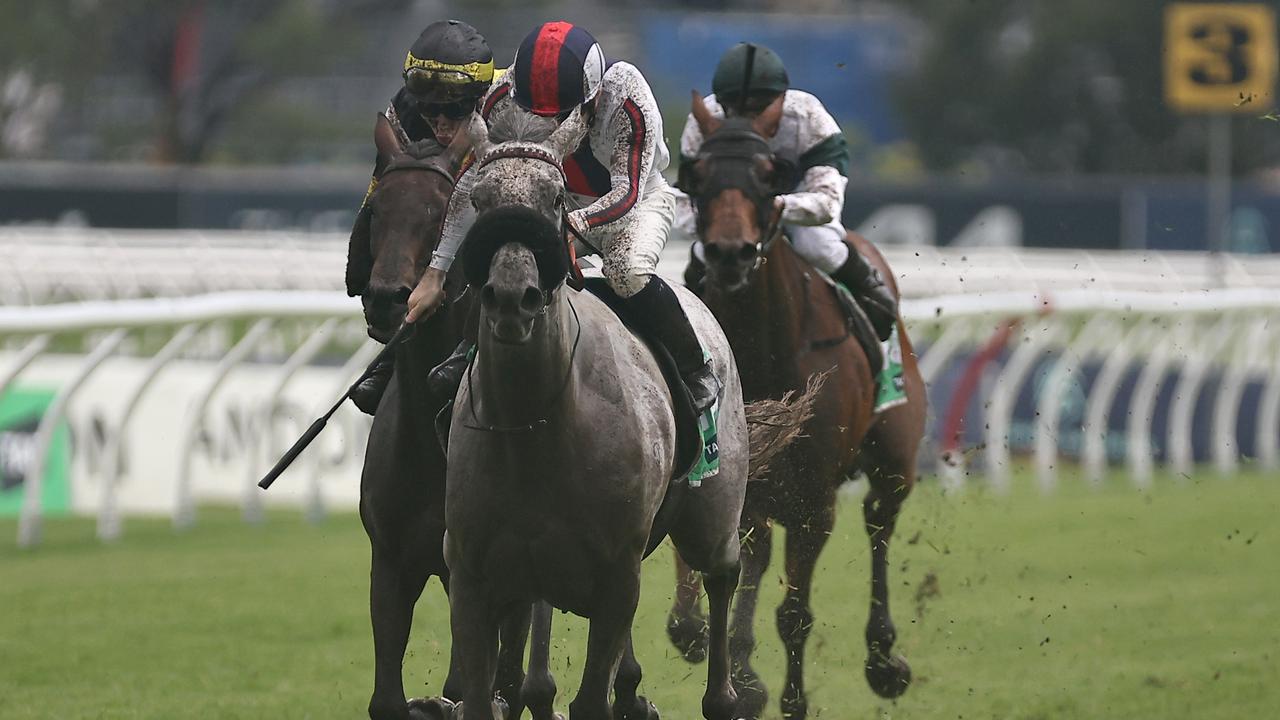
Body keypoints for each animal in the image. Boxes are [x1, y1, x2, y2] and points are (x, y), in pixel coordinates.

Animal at [343, 116, 527, 717]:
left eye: (440, 211)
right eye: (377, 210)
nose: (387, 298)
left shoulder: (484, 575)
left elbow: (476, 687)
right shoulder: (392, 561)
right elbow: (388, 697)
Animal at [437, 107, 747, 717]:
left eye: (556, 198)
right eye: (479, 200)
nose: (512, 297)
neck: (534, 426)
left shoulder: (616, 578)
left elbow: (590, 699)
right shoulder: (473, 580)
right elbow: (485, 695)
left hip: (713, 515)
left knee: (723, 574)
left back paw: (723, 695)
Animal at [665, 95, 926, 717]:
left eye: (768, 175)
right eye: (699, 176)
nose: (730, 253)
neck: (763, 345)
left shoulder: (813, 502)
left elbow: (795, 615)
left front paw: (789, 699)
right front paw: (732, 670)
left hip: (894, 461)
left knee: (879, 523)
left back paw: (884, 661)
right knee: (758, 553)